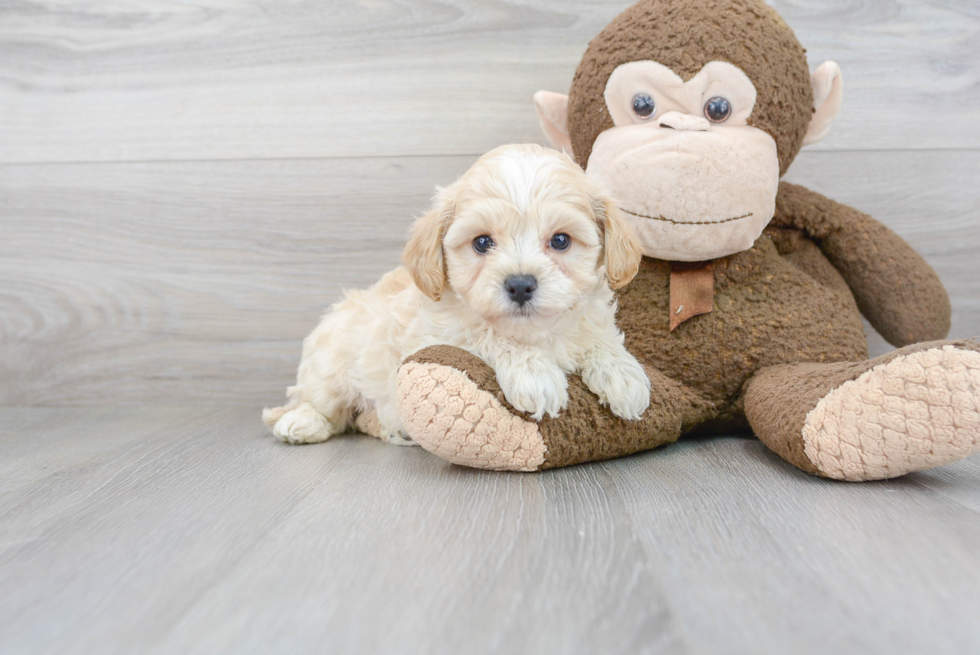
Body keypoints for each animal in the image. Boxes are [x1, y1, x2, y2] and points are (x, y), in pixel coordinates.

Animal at [264, 144, 656, 446]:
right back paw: (302, 423)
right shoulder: (433, 337)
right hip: (331, 366)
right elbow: (484, 331)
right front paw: (534, 373)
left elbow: (599, 339)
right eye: (482, 242)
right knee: (322, 405)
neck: (535, 333)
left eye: (560, 240)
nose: (520, 284)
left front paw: (622, 374)